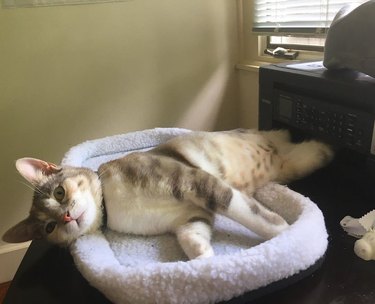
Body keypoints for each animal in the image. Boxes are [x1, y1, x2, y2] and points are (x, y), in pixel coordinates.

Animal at [2, 128, 332, 258]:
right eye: (49, 227)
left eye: (59, 192)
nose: (68, 217)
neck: (113, 201)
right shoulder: (191, 216)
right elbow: (191, 237)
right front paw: (205, 259)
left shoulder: (198, 181)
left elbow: (257, 216)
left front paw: (288, 235)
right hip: (290, 164)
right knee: (300, 153)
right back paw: (319, 148)